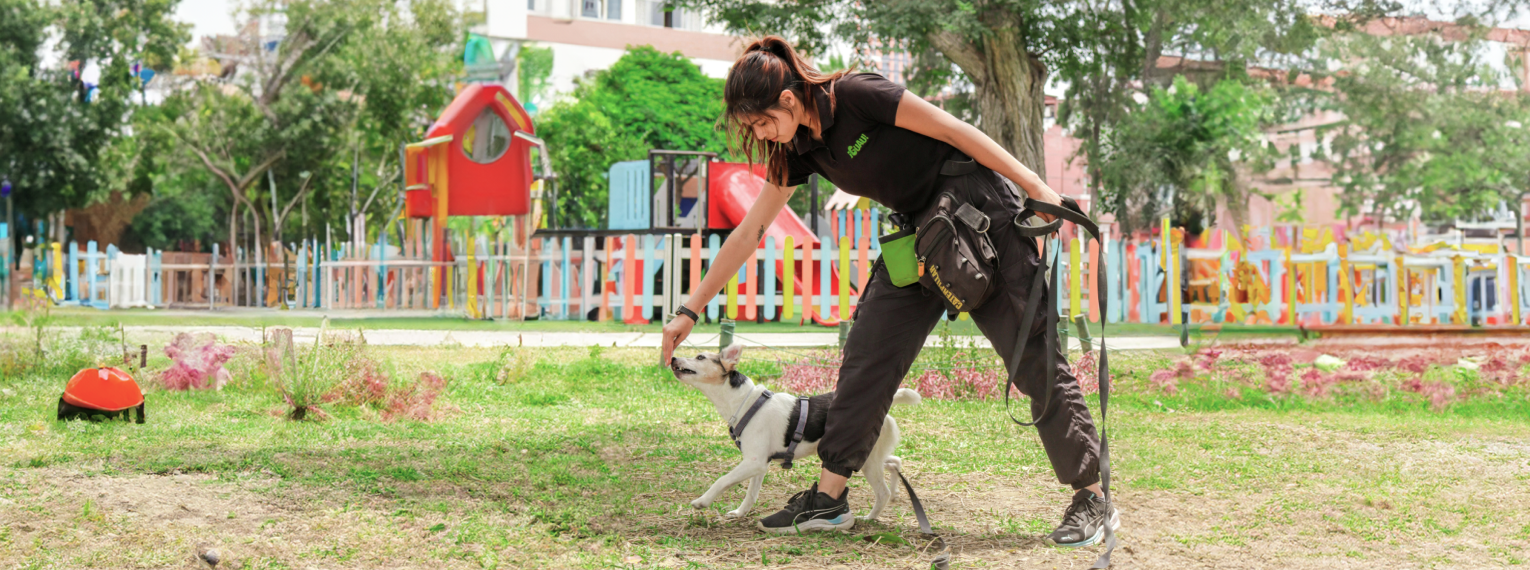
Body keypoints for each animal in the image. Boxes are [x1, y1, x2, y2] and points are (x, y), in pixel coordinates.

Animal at [670, 339, 918, 525]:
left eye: (700, 357)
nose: (672, 358)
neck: (745, 401)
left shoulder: (753, 462)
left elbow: (723, 480)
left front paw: (702, 501)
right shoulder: (759, 465)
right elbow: (751, 494)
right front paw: (740, 513)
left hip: (867, 462)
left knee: (882, 491)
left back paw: (870, 517)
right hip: (873, 457)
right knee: (896, 462)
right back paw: (897, 491)